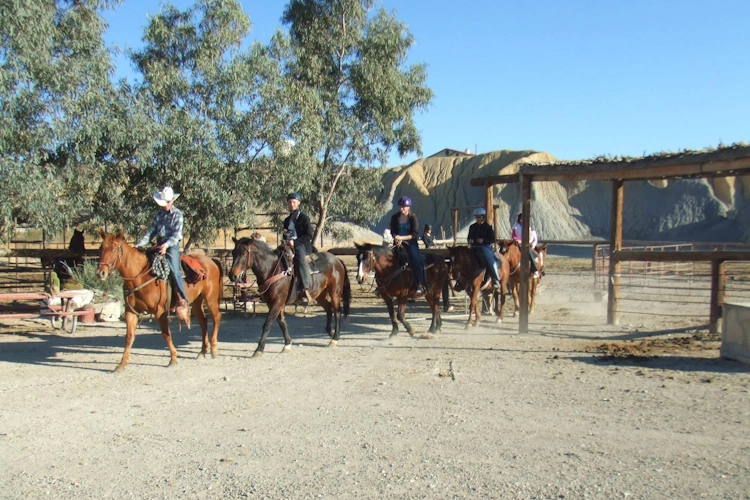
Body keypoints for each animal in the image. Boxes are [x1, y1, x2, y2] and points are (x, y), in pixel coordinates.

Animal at [95, 230, 223, 372]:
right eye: (101, 248)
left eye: (113, 249)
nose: (100, 273)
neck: (140, 277)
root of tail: (211, 260)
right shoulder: (130, 312)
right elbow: (129, 337)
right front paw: (121, 364)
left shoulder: (159, 311)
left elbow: (166, 334)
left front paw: (173, 359)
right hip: (195, 301)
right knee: (203, 322)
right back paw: (202, 352)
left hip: (210, 298)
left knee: (216, 317)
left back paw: (214, 350)